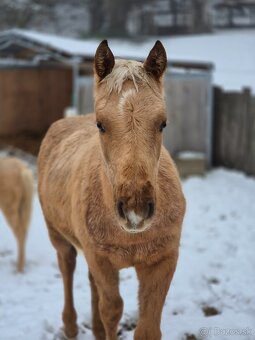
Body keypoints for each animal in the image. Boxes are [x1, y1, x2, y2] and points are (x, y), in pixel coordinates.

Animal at [37, 41, 185, 338]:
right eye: (100, 124)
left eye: (162, 123)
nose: (135, 209)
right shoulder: (101, 261)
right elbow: (111, 310)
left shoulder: (162, 262)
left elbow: (147, 327)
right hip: (59, 237)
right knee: (67, 268)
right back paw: (70, 325)